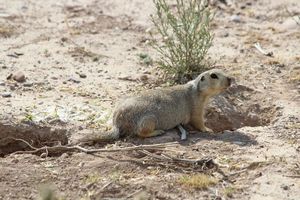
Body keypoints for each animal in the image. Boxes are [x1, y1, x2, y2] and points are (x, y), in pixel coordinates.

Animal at [79, 69, 232, 144]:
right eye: (214, 75)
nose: (231, 79)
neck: (198, 91)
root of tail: (117, 122)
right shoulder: (196, 106)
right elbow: (198, 121)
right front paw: (208, 129)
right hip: (148, 120)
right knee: (141, 133)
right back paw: (158, 132)